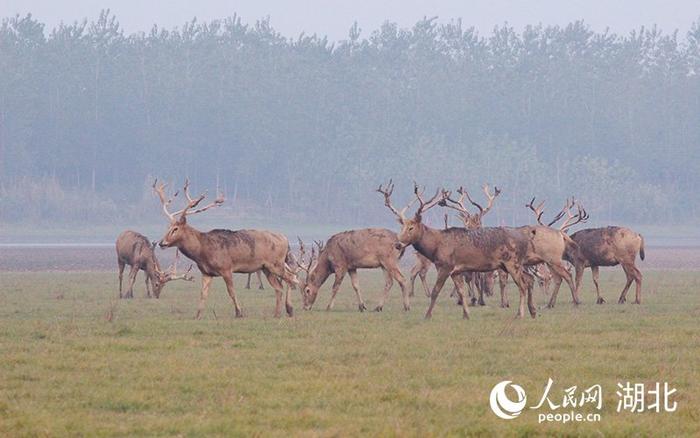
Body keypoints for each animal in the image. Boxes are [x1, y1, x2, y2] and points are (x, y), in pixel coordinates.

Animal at [154, 178, 300, 318]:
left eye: (175, 229)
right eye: (168, 227)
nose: (162, 243)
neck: (201, 252)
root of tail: (285, 239)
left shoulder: (226, 268)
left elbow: (231, 292)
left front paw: (239, 313)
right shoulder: (206, 272)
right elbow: (203, 294)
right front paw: (197, 315)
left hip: (276, 264)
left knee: (291, 278)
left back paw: (290, 309)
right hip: (266, 268)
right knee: (279, 287)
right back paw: (277, 313)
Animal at [378, 180, 536, 320]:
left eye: (411, 227)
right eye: (402, 227)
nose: (398, 244)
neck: (435, 248)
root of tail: (525, 240)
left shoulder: (445, 266)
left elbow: (436, 291)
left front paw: (427, 315)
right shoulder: (456, 270)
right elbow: (461, 292)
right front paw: (466, 314)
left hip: (512, 262)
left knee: (522, 285)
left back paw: (520, 314)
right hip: (514, 264)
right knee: (528, 279)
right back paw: (532, 311)